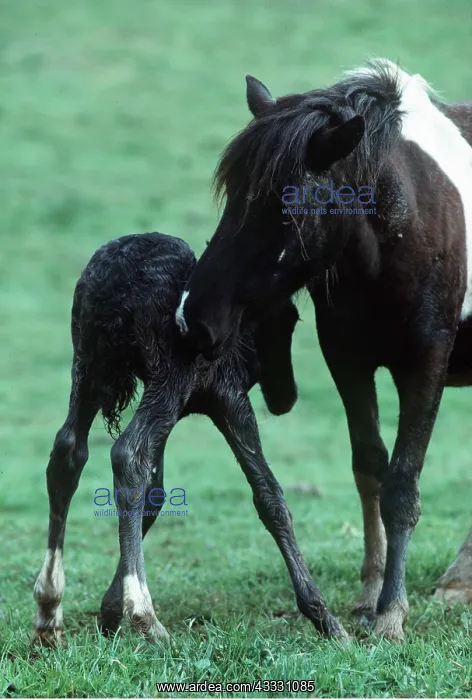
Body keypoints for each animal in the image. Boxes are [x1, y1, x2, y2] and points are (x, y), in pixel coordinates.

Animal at [33, 231, 348, 646]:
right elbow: (269, 495)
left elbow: (155, 494)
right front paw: (324, 616)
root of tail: (115, 281)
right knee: (127, 452)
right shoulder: (230, 396)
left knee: (69, 451)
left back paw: (49, 606)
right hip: (168, 378)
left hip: (88, 365)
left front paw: (109, 612)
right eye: (290, 318)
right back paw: (146, 616)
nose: (286, 396)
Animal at [176, 59, 472, 640]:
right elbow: (370, 469)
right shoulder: (348, 361)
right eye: (233, 195)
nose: (194, 319)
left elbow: (402, 486)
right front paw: (370, 595)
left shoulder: (426, 363)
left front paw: (392, 613)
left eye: (282, 208)